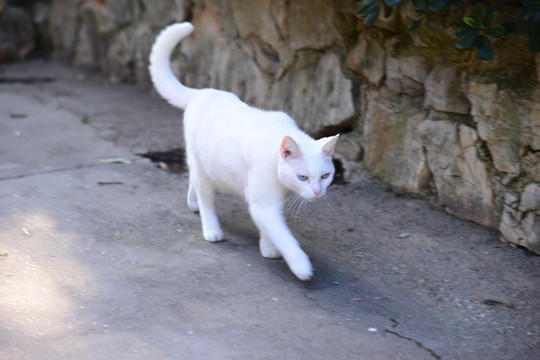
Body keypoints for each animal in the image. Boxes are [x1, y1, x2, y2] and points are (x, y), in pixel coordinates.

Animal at [148, 23, 340, 282]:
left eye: (325, 176)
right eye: (303, 177)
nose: (318, 192)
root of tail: (203, 92)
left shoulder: (271, 203)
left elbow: (271, 230)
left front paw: (268, 249)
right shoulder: (264, 204)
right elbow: (284, 236)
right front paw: (301, 266)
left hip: (205, 165)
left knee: (194, 182)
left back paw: (193, 202)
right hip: (202, 168)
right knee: (206, 197)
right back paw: (212, 229)